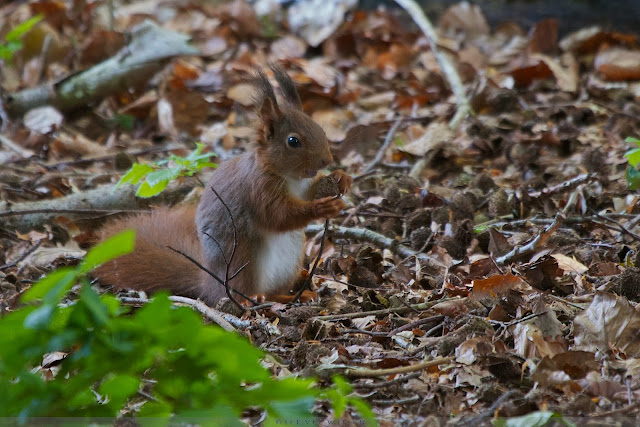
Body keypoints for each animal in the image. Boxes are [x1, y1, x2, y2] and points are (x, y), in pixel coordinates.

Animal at [95, 67, 352, 306]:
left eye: (319, 128)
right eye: (293, 141)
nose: (327, 160)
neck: (289, 177)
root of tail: (209, 283)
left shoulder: (303, 185)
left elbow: (308, 193)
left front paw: (340, 178)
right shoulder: (257, 189)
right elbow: (278, 216)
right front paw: (322, 208)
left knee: (275, 291)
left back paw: (298, 294)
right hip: (243, 260)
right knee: (244, 292)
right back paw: (255, 299)